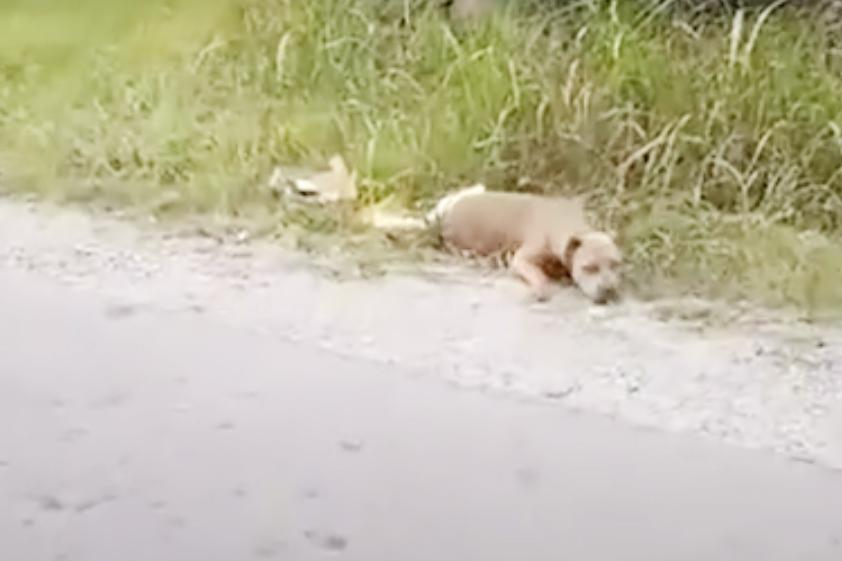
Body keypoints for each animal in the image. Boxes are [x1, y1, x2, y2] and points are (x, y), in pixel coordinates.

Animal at [430, 186, 620, 304]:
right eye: (589, 268)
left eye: (616, 265)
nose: (609, 290)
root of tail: (446, 210)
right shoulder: (521, 260)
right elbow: (539, 276)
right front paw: (542, 287)